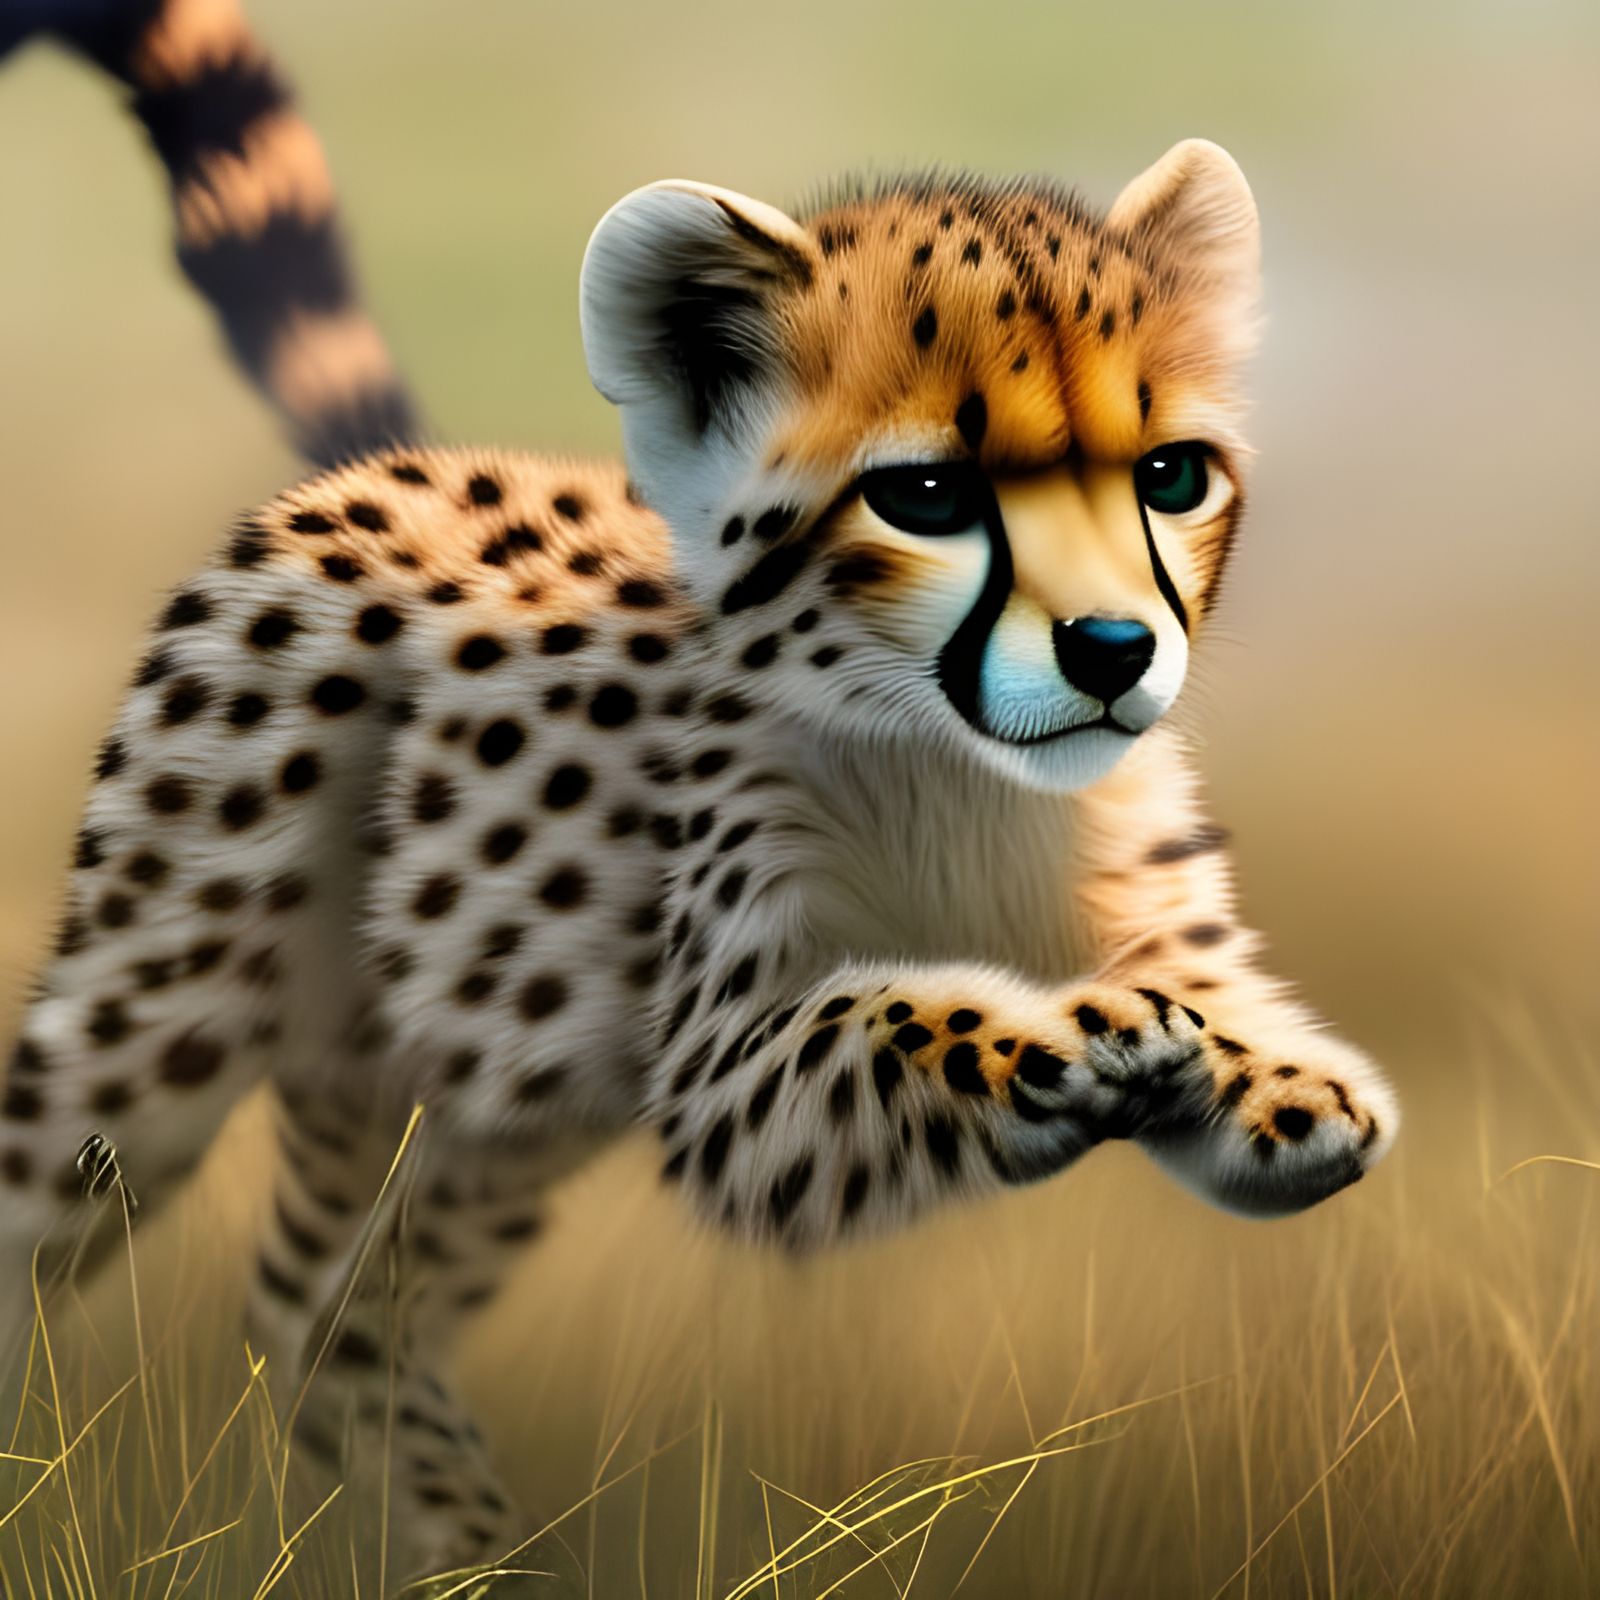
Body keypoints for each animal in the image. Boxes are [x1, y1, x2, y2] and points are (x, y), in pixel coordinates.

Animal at [1, 0, 1398, 1578]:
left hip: (486, 1101)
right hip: (159, 1016)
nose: (1113, 651)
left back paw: (477, 1552)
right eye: (925, 496)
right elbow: (888, 1015)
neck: (955, 763)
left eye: (1171, 475)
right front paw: (1072, 1034)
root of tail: (389, 469)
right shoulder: (727, 1060)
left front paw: (1280, 1085)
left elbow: (1213, 1007)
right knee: (59, 1207)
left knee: (329, 1318)